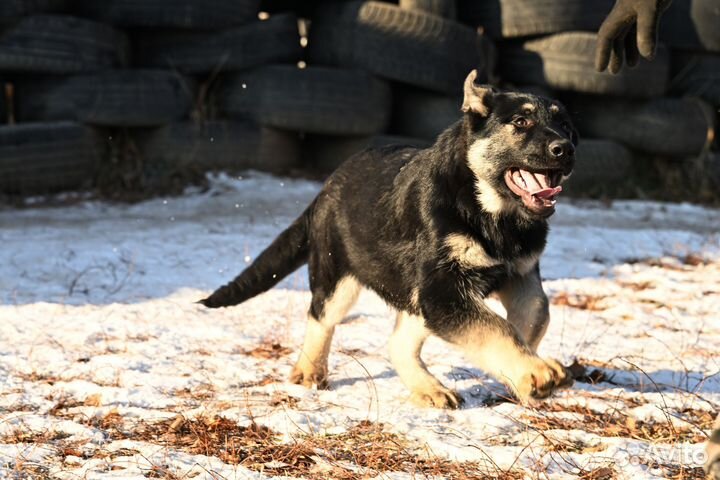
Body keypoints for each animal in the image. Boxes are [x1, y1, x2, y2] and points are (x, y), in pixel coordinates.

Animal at [201, 70, 580, 408]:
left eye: (565, 126)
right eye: (521, 122)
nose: (566, 149)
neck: (490, 209)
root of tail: (328, 185)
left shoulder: (516, 276)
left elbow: (534, 316)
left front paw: (524, 375)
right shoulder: (444, 291)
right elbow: (496, 328)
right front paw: (534, 373)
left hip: (414, 295)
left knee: (397, 342)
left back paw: (428, 389)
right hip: (339, 277)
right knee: (321, 318)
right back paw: (309, 371)